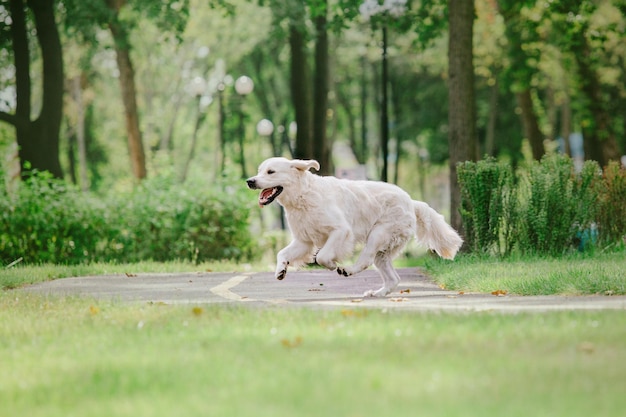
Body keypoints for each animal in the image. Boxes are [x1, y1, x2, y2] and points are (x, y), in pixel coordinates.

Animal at [246, 156, 460, 296]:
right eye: (259, 171)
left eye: (270, 172)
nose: (250, 181)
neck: (302, 197)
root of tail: (412, 202)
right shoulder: (304, 241)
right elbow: (281, 253)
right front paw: (281, 270)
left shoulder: (341, 231)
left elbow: (322, 256)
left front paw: (332, 264)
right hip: (383, 251)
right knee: (393, 278)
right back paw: (377, 293)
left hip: (378, 234)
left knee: (365, 260)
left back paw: (347, 270)